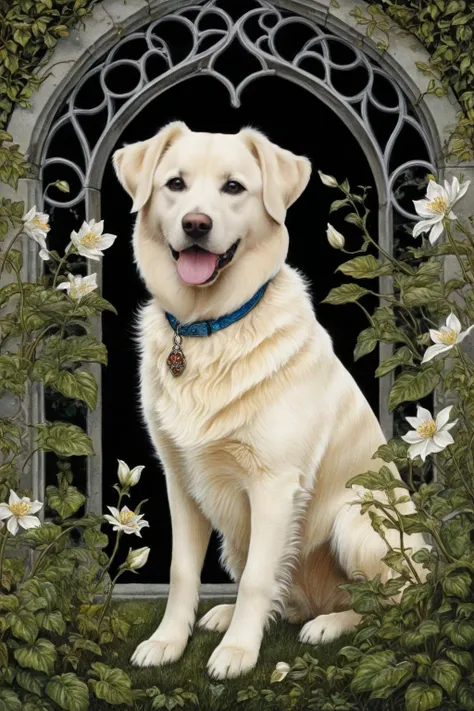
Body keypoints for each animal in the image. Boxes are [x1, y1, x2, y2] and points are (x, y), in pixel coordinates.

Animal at [112, 122, 426, 680]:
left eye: (234, 187)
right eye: (175, 184)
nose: (196, 224)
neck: (209, 329)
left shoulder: (274, 485)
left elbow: (260, 577)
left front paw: (237, 653)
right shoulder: (179, 481)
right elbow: (182, 572)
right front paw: (168, 641)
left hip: (357, 519)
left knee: (387, 605)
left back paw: (326, 625)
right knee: (284, 596)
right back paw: (231, 613)